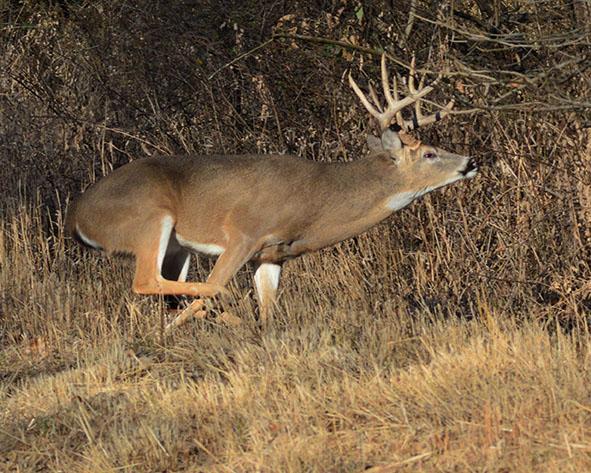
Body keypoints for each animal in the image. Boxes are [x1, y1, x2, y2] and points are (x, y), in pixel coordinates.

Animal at [68, 54, 476, 328]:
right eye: (429, 152)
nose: (470, 161)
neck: (314, 201)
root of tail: (77, 217)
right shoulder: (244, 233)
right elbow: (218, 282)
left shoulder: (272, 254)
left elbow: (268, 310)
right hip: (149, 218)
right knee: (150, 282)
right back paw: (216, 314)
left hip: (175, 249)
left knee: (169, 291)